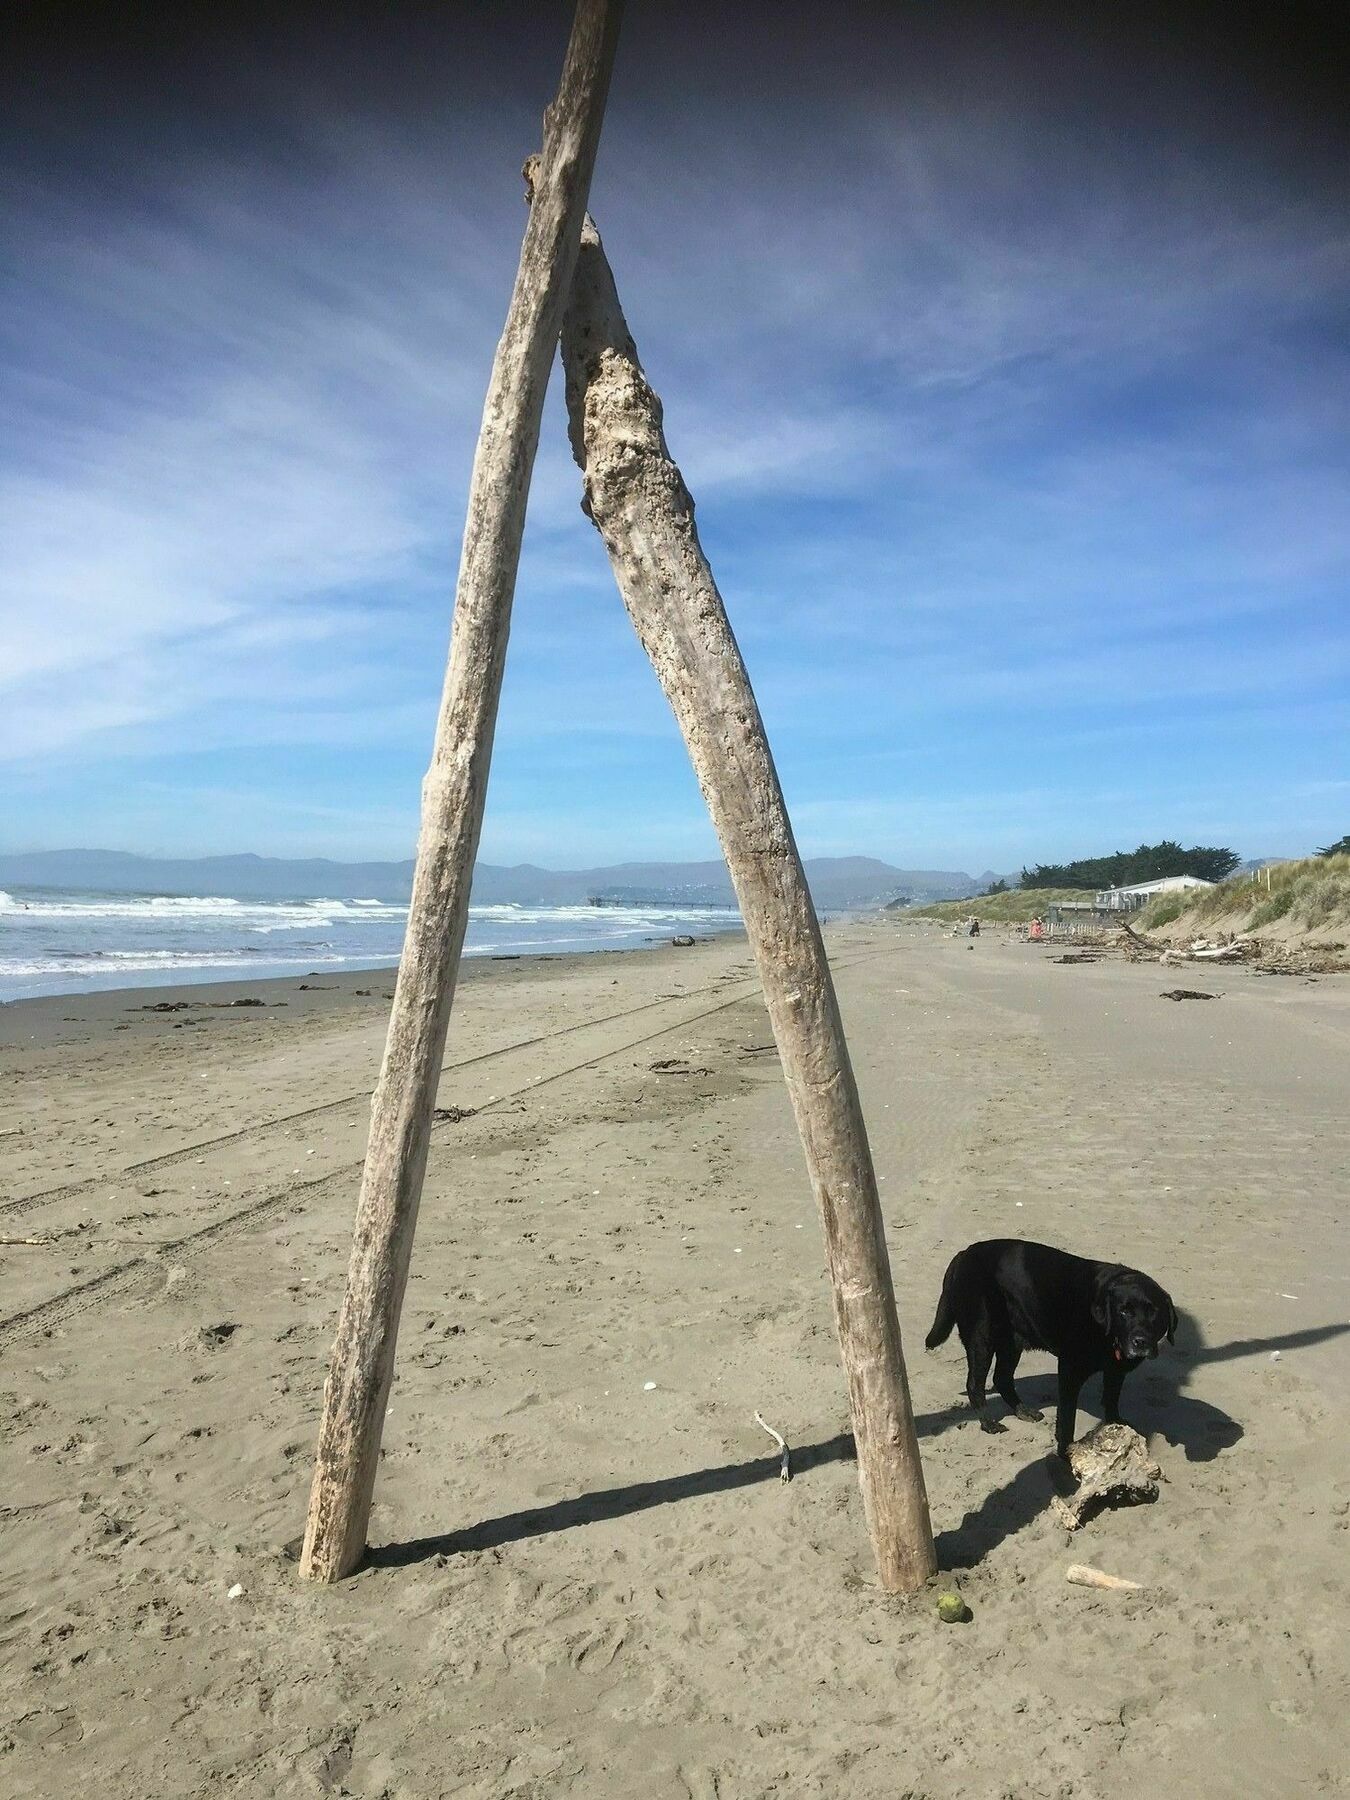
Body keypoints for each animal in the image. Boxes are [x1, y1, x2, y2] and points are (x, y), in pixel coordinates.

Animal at [928, 1238, 1180, 1461]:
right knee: (975, 1385)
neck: (1106, 1334)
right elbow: (1067, 1418)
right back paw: (988, 1423)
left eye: (1154, 1312)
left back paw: (1022, 1410)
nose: (1140, 1341)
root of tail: (964, 1254)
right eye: (1124, 1311)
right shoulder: (1069, 1370)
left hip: (1012, 1342)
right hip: (982, 1338)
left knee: (1002, 1378)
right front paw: (1066, 1452)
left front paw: (1115, 1426)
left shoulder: (1115, 1371)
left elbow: (1111, 1400)